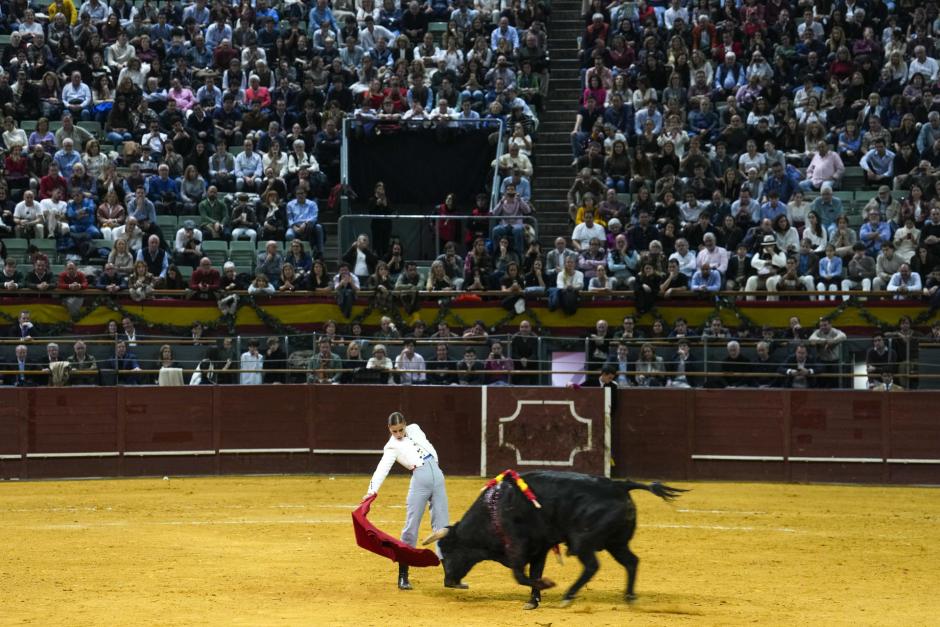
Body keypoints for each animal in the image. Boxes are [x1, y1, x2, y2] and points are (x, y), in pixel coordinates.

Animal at [420, 472, 684, 608]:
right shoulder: (540, 549)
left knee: (592, 565)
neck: (494, 510)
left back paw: (568, 596)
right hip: (616, 543)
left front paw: (546, 586)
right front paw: (533, 601)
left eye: (447, 550)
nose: (449, 581)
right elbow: (534, 572)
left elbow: (520, 575)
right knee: (631, 562)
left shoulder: (518, 547)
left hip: (582, 541)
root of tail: (620, 486)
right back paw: (629, 597)